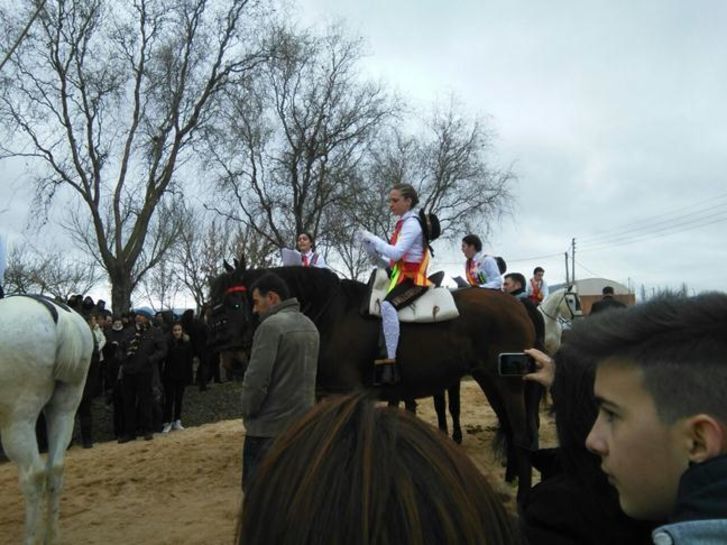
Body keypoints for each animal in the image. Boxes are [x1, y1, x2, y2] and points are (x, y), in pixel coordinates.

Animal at [0, 296, 94, 540]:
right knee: (56, 469)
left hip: (17, 419)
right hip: (65, 409)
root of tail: (59, 315)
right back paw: (50, 537)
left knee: (33, 475)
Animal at [208, 264, 536, 502]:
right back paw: (509, 480)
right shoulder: (325, 394)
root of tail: (516, 305)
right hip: (489, 381)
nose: (230, 361)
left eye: (234, 304)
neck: (332, 315)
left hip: (509, 385)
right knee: (509, 428)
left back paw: (523, 494)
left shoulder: (348, 393)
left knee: (522, 435)